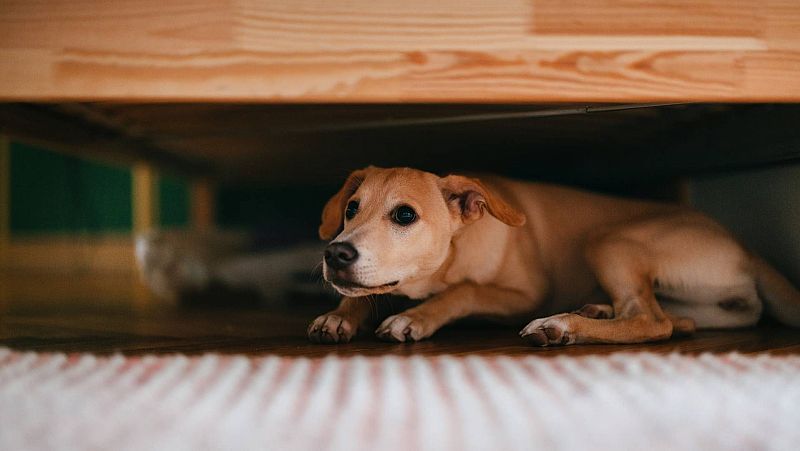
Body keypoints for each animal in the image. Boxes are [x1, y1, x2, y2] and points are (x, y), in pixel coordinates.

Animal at [308, 166, 800, 346]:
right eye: (352, 209)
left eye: (405, 215)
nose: (335, 253)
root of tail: (746, 248)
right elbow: (365, 292)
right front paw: (340, 315)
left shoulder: (525, 294)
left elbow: (465, 291)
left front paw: (416, 317)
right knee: (676, 319)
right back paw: (595, 310)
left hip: (609, 239)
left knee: (650, 321)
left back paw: (562, 325)